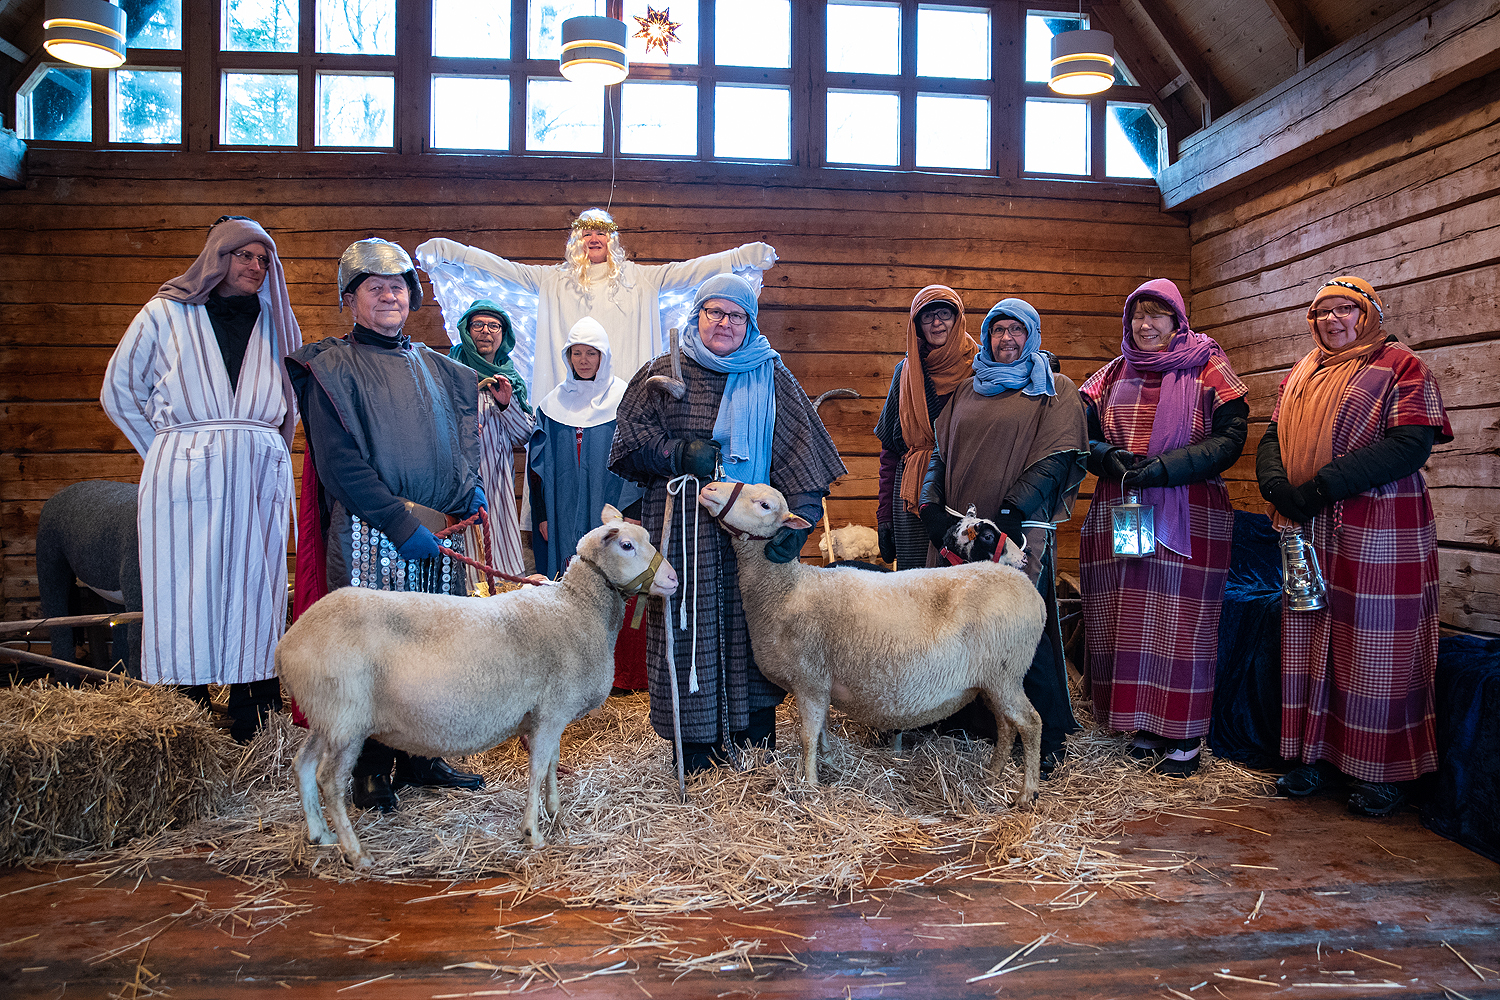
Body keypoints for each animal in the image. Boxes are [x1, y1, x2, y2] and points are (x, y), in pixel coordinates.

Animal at [279, 509, 678, 869]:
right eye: (626, 545)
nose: (674, 578)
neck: (577, 607)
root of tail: (288, 643)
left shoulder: (551, 714)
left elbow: (551, 764)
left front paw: (556, 814)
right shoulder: (550, 712)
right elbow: (537, 770)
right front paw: (533, 833)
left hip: (328, 716)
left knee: (303, 764)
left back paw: (320, 834)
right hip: (345, 717)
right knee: (330, 781)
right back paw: (355, 852)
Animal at [699, 482, 1044, 803]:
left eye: (765, 505)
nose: (709, 488)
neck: (788, 589)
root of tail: (1030, 590)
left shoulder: (810, 680)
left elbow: (807, 737)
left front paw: (809, 785)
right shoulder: (821, 684)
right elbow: (821, 730)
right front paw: (828, 762)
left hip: (1006, 673)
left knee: (1030, 723)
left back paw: (1027, 792)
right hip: (993, 680)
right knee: (1005, 725)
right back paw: (993, 774)